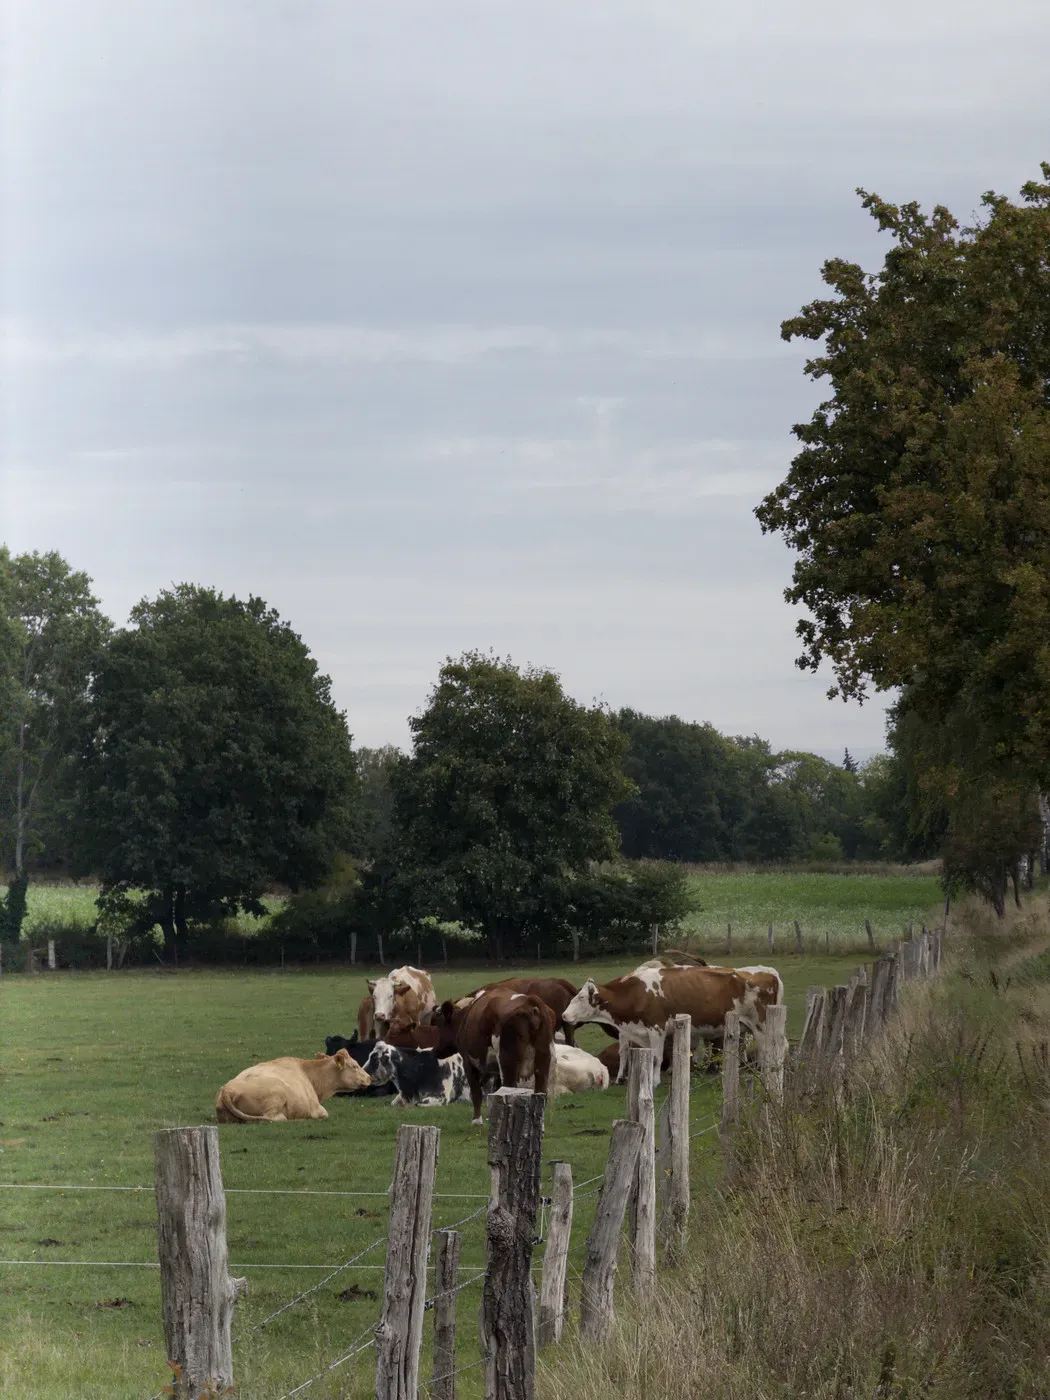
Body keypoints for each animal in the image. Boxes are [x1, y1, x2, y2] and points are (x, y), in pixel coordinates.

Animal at [215, 1049, 370, 1122]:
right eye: (355, 1066)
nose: (369, 1078)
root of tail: (227, 1089)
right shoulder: (317, 1108)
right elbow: (324, 1114)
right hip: (276, 1094)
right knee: (274, 1118)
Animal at [437, 988, 556, 1124]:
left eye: (440, 1025)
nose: (435, 1050)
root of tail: (531, 1002)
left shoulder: (468, 1062)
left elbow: (476, 1093)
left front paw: (477, 1121)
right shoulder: (496, 1069)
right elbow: (496, 1092)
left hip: (508, 1061)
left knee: (510, 1089)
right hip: (543, 1061)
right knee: (541, 1092)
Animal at [563, 962, 785, 1084]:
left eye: (580, 998)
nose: (564, 1015)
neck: (637, 993)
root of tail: (767, 974)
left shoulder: (657, 1028)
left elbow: (656, 1057)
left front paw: (654, 1081)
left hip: (761, 1027)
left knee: (770, 1051)